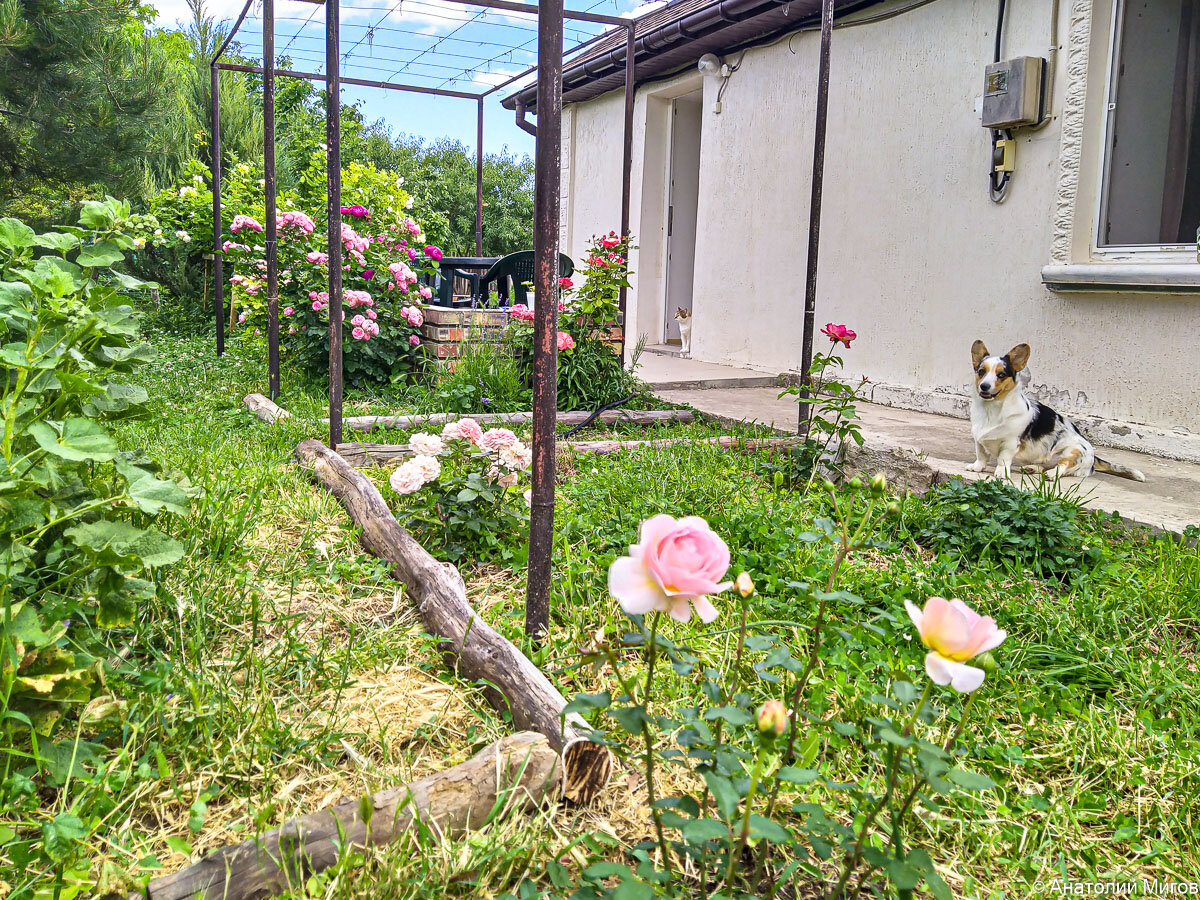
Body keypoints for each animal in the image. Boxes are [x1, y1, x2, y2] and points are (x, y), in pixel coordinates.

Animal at [964, 343, 1142, 487]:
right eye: (981, 372)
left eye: (1001, 375)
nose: (984, 386)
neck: (991, 409)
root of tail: (1093, 457)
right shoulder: (978, 439)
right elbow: (981, 456)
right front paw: (977, 467)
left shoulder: (1010, 443)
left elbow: (1003, 459)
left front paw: (1001, 473)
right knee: (1045, 465)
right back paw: (1031, 468)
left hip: (1073, 450)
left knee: (1061, 467)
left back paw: (1050, 474)